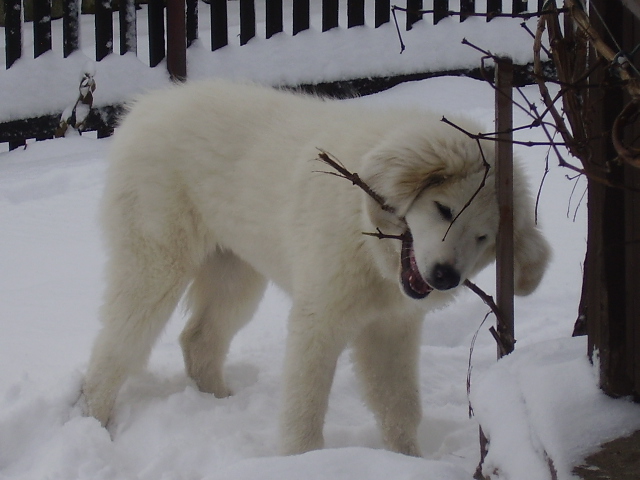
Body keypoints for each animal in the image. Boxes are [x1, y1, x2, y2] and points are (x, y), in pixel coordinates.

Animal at [81, 79, 552, 458]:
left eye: (484, 237)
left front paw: (408, 462)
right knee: (116, 347)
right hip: (155, 263)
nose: (445, 277)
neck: (365, 232)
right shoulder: (320, 319)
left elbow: (399, 406)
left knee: (199, 339)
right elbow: (304, 408)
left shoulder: (391, 329)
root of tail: (148, 104)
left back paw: (219, 403)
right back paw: (93, 423)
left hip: (236, 274)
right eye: (443, 209)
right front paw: (304, 462)